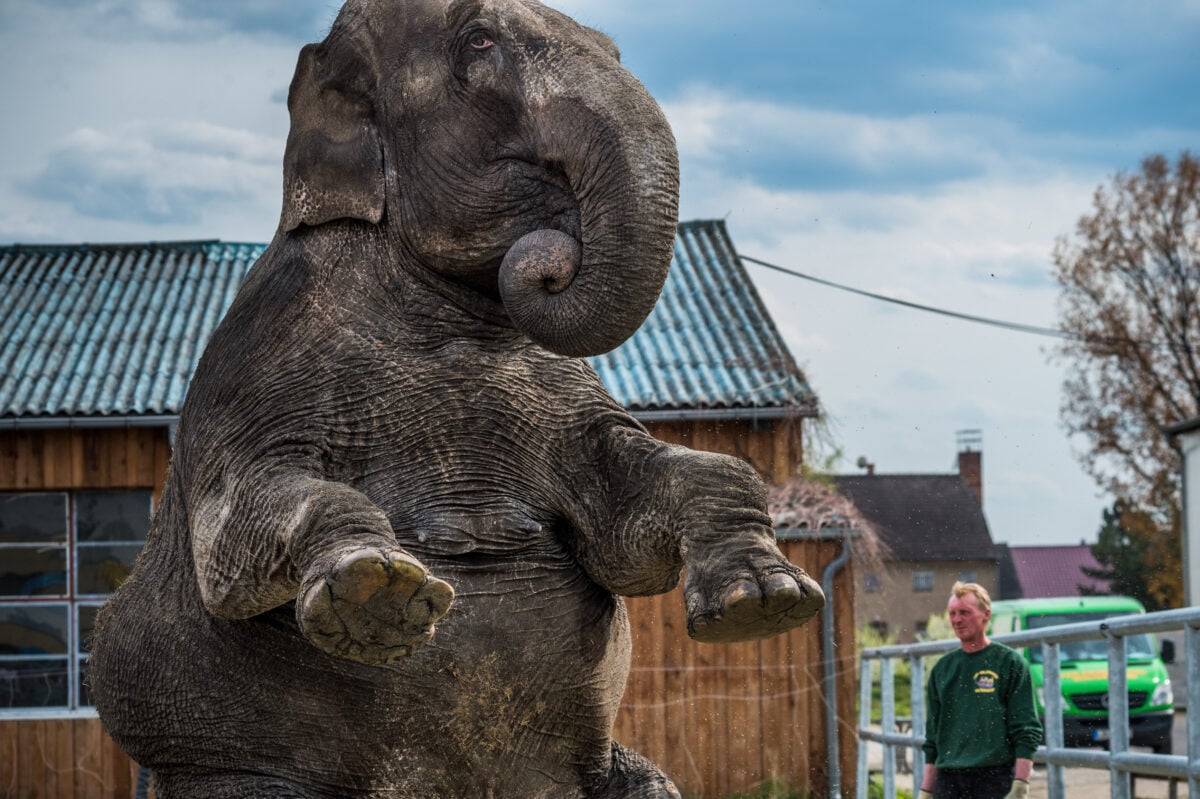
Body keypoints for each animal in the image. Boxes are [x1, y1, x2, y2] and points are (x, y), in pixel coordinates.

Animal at [91, 1, 825, 796]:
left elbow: (629, 525)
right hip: (220, 764)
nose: (550, 259)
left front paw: (768, 600)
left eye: (613, 47)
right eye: (478, 40)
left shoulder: (564, 396)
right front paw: (379, 593)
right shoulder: (251, 368)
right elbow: (234, 539)